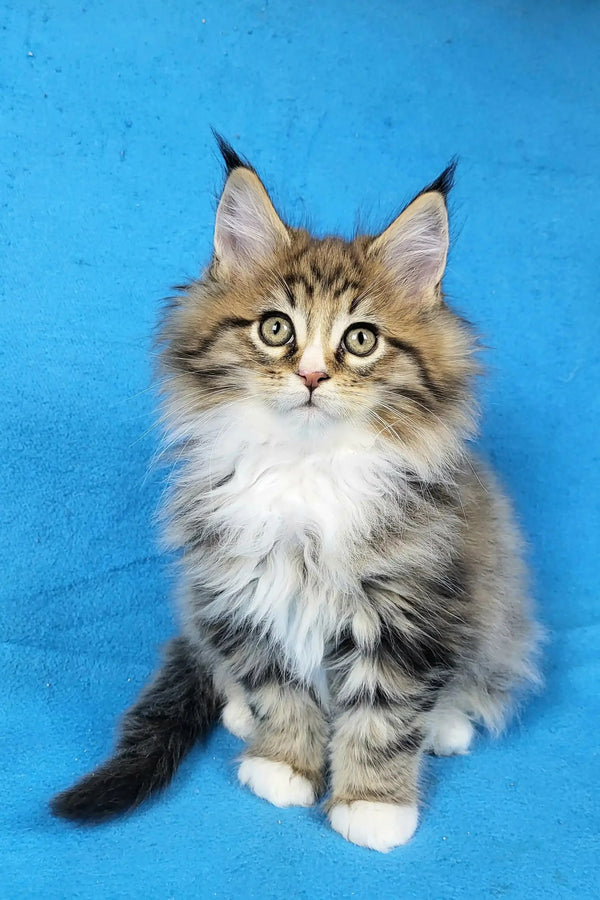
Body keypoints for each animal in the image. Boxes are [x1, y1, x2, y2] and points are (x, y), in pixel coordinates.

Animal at [50, 139, 540, 852]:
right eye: (277, 329)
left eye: (360, 338)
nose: (311, 376)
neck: (307, 469)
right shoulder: (245, 591)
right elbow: (279, 691)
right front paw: (283, 764)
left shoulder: (407, 607)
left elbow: (385, 715)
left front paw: (372, 804)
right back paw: (237, 713)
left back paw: (447, 724)